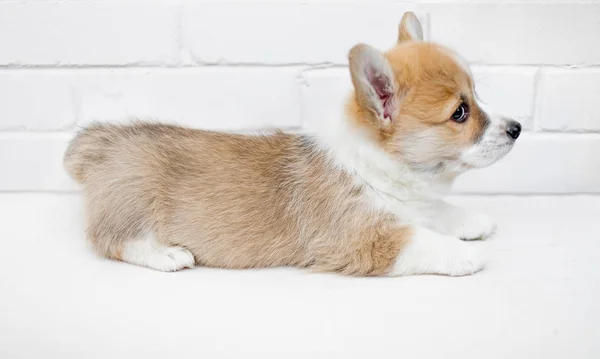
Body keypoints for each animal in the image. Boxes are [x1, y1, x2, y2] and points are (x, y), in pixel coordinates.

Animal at [62, 11, 520, 276]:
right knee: (112, 239)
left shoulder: (415, 204)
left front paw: (473, 222)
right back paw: (167, 255)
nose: (517, 128)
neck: (377, 166)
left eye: (476, 97)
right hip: (133, 199)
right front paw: (464, 254)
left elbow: (438, 211)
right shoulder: (363, 240)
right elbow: (420, 239)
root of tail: (104, 142)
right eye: (460, 113)